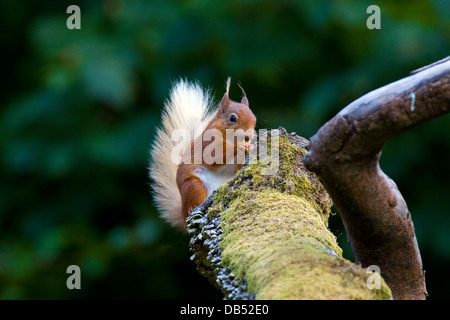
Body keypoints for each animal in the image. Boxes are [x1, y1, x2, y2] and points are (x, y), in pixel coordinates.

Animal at [149, 77, 256, 228]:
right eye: (232, 118)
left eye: (254, 118)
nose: (248, 137)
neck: (229, 138)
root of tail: (183, 212)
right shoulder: (208, 142)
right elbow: (215, 155)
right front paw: (239, 146)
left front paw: (250, 148)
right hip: (193, 186)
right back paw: (193, 207)